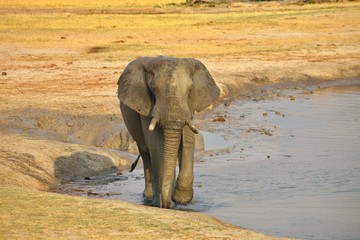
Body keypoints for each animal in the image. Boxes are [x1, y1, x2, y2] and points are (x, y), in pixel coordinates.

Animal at [117, 56, 219, 208]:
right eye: (153, 89)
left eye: (190, 89)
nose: (168, 204)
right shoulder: (148, 107)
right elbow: (157, 146)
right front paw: (163, 202)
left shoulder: (189, 107)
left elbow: (188, 141)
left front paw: (181, 200)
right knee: (146, 155)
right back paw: (149, 197)